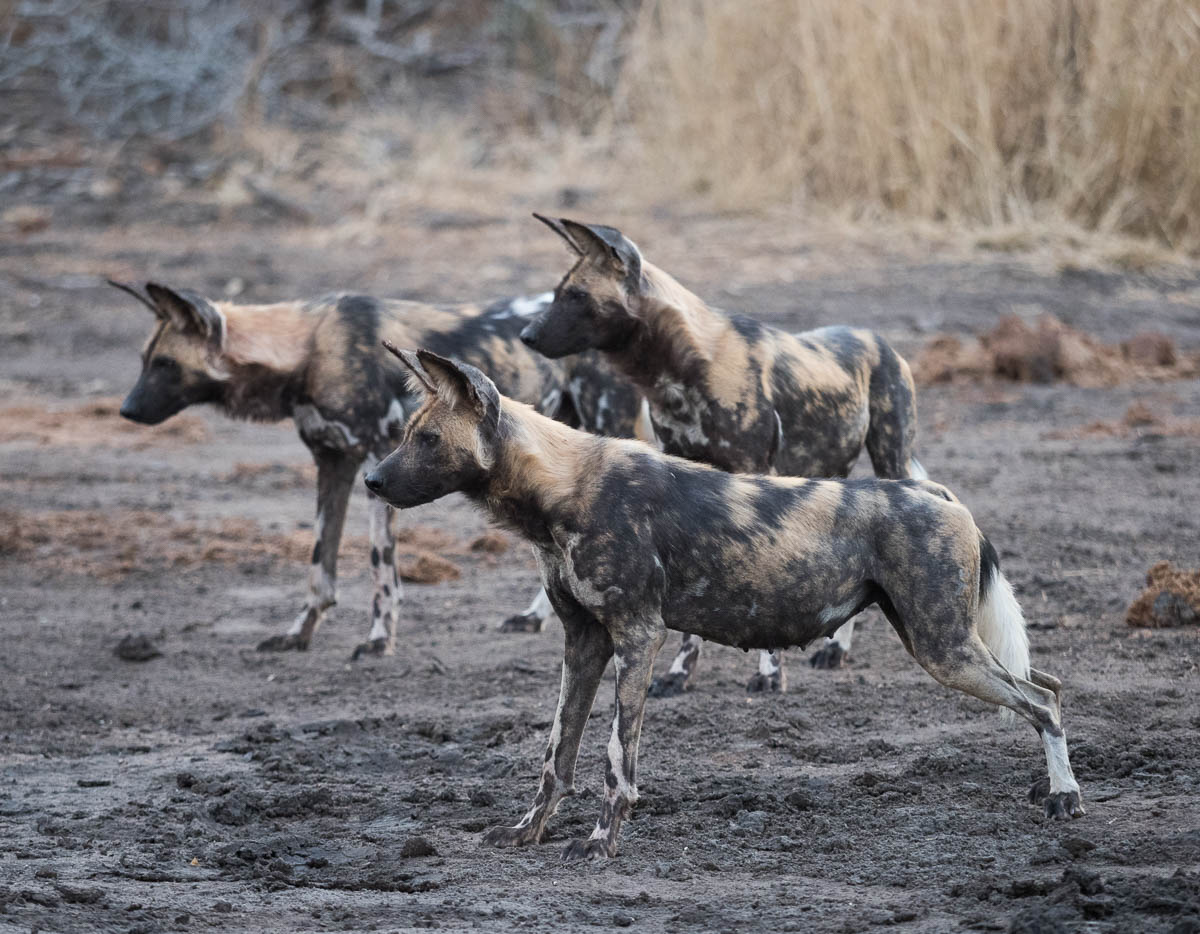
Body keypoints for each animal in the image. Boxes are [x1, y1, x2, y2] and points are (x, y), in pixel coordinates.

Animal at [111, 280, 639, 658]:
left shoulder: (376, 468)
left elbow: (379, 566)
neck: (309, 350)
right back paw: (534, 617)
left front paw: (379, 638)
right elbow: (319, 563)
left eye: (165, 364)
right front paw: (299, 633)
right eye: (142, 361)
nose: (126, 410)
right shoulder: (333, 464)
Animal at [364, 347, 1084, 861]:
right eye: (407, 434)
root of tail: (938, 494)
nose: (371, 479)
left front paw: (598, 844)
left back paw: (1066, 799)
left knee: (1040, 701)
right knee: (1045, 683)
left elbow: (615, 760)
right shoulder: (584, 642)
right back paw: (1046, 786)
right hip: (942, 639)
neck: (562, 488)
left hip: (943, 648)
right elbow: (556, 756)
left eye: (427, 441)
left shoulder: (637, 637)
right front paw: (527, 831)